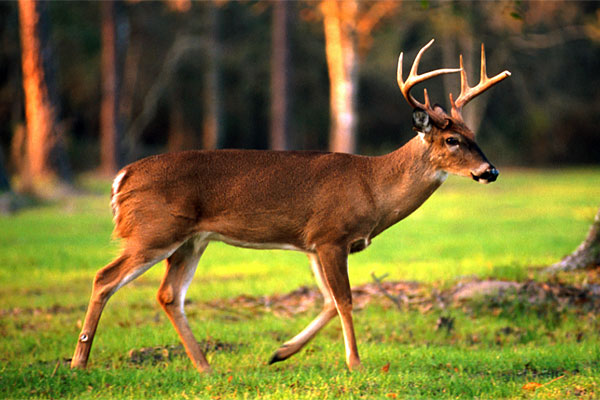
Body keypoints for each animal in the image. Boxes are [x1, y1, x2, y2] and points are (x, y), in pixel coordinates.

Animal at [71, 39, 510, 374]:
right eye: (452, 140)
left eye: (473, 134)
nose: (490, 171)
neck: (372, 187)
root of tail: (121, 178)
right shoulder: (331, 235)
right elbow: (345, 300)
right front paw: (355, 363)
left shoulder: (314, 243)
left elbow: (329, 301)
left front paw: (279, 352)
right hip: (154, 230)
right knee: (105, 278)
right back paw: (79, 361)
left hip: (191, 240)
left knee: (168, 295)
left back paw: (206, 367)